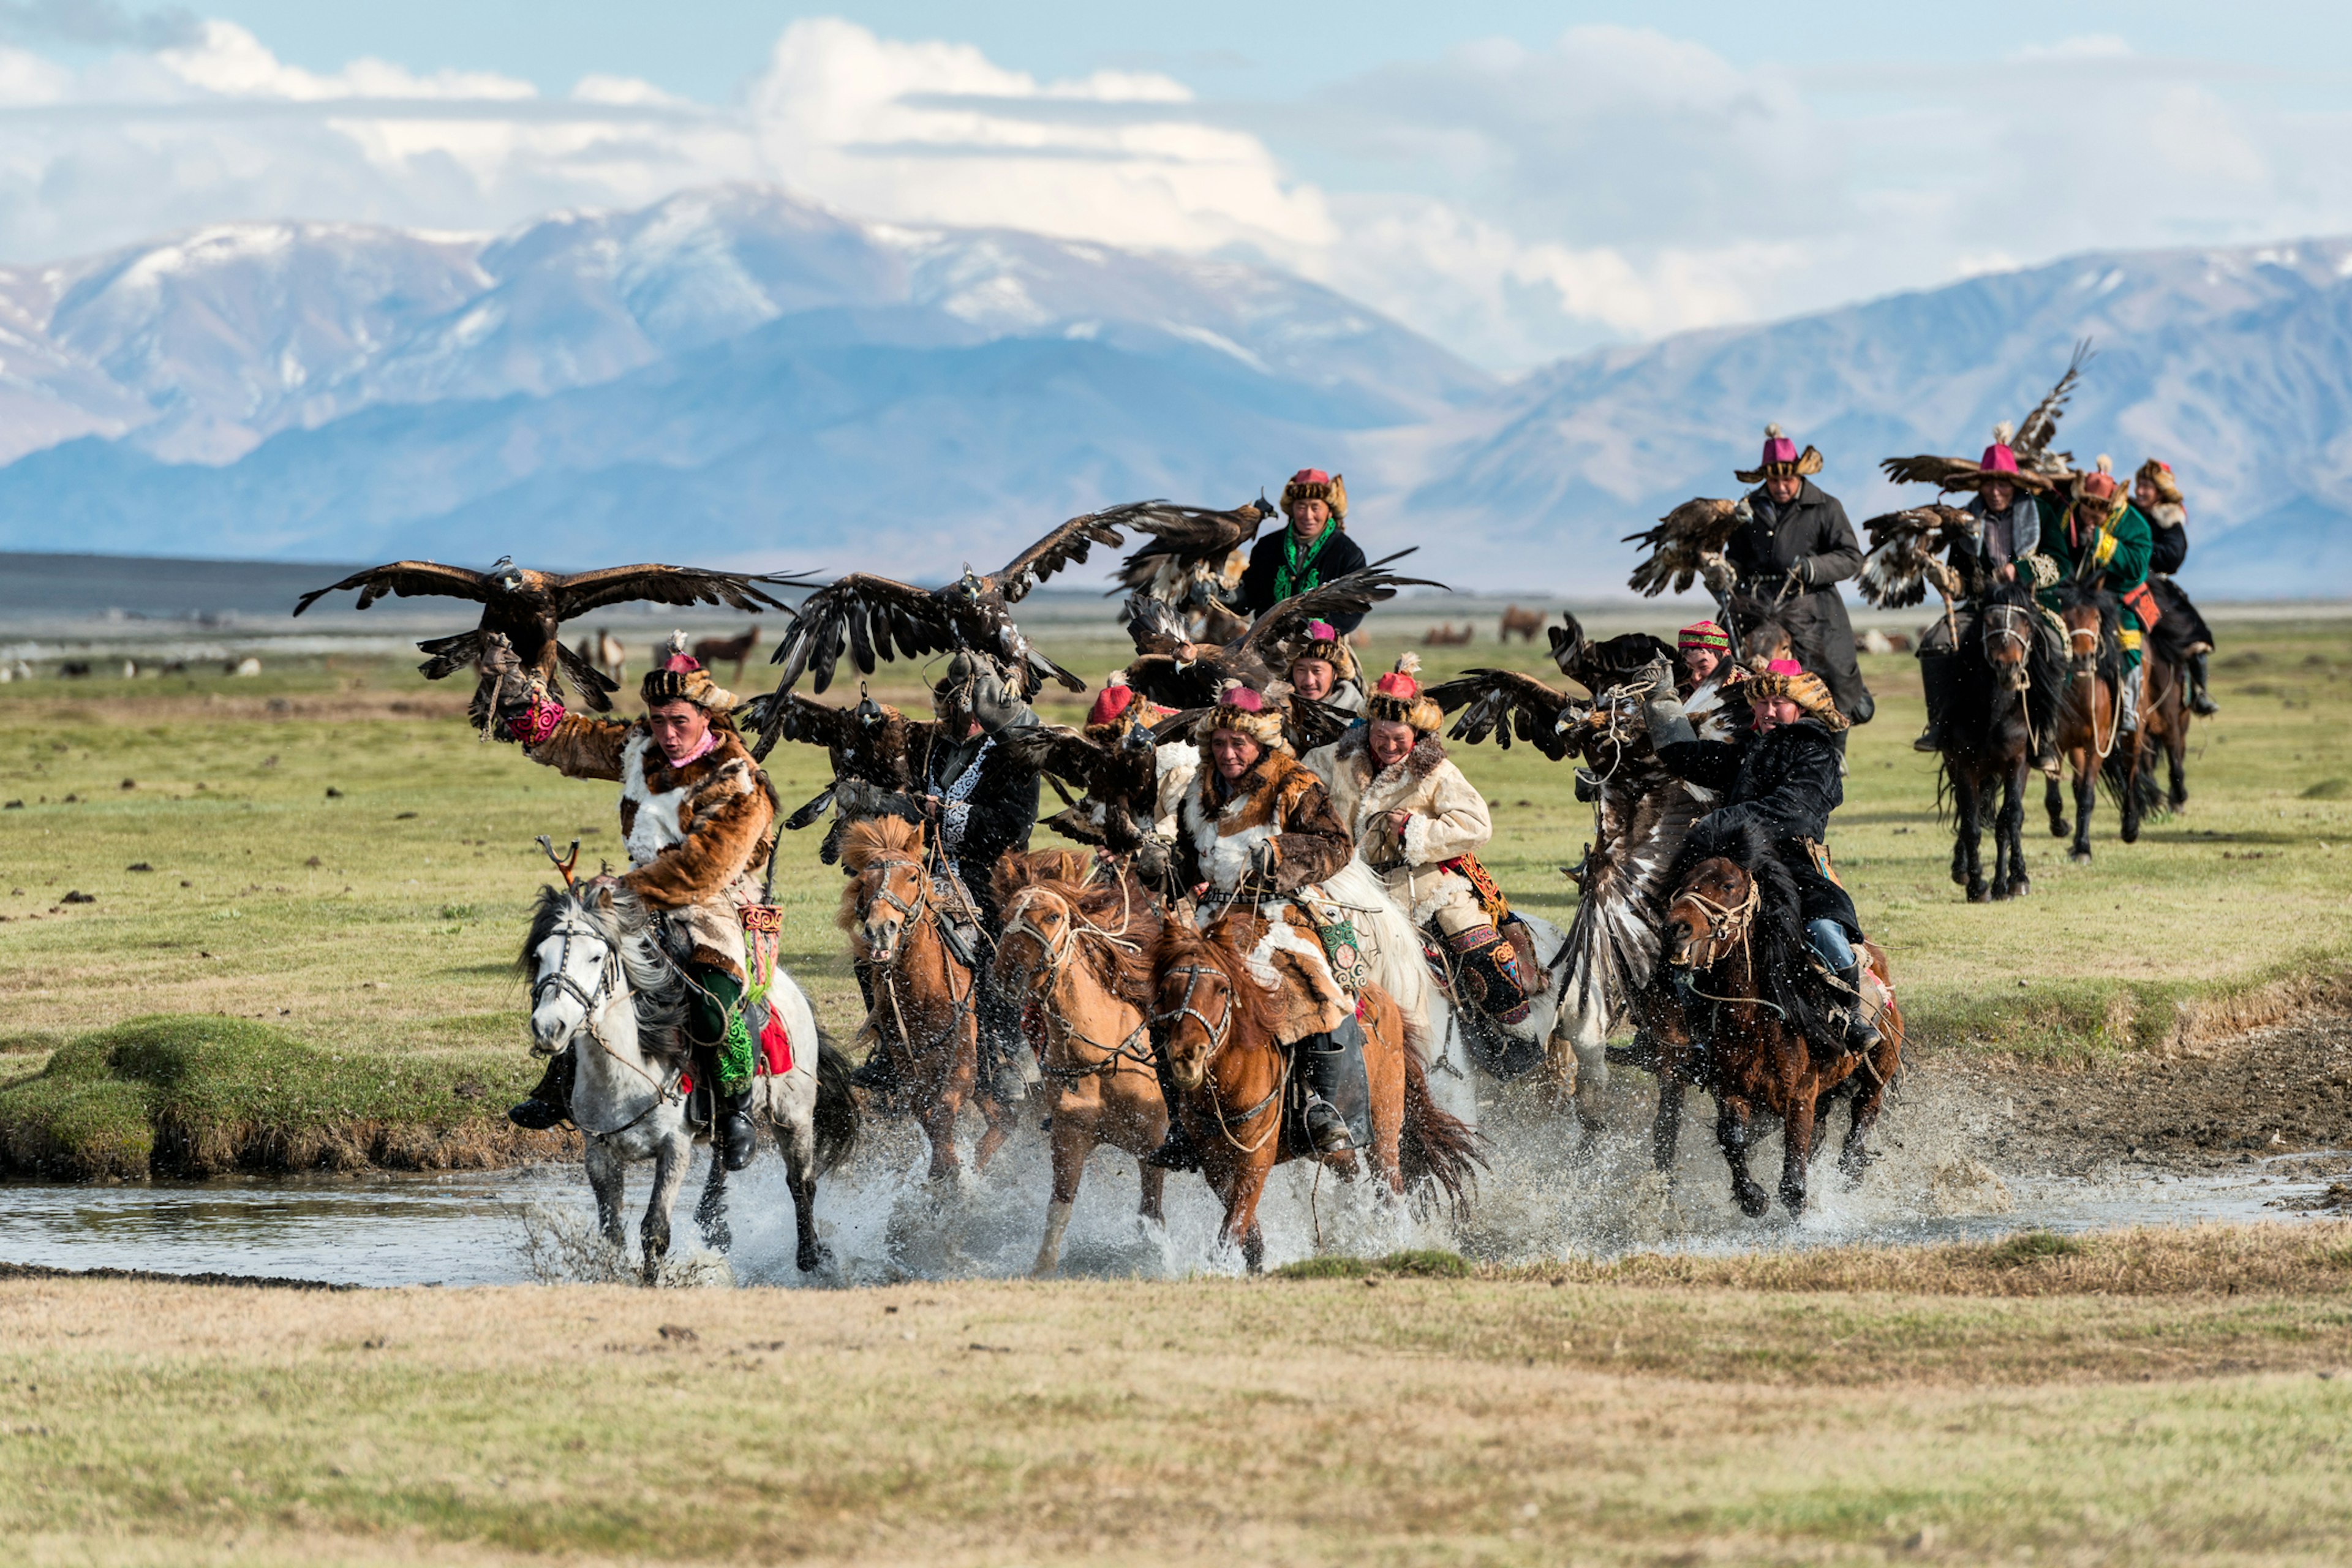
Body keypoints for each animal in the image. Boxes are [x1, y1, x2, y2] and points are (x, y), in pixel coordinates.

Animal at [524, 879, 865, 1278]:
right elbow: (612, 1234)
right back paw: (716, 1218)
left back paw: (810, 1257)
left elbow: (655, 1230)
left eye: (596, 957)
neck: (626, 1072)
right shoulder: (599, 1152)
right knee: (724, 1154)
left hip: (793, 1114)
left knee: (802, 1183)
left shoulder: (674, 1147)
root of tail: (787, 987)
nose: (550, 1026)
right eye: (539, 957)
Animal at [846, 823, 1030, 1175]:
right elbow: (929, 1118)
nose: (880, 930)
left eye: (912, 877)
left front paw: (948, 1173)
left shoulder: (963, 1068)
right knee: (1001, 1121)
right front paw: (944, 1172)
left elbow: (943, 1113)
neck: (924, 993)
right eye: (863, 880)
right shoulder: (911, 1072)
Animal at [992, 851, 1176, 1278]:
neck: (1102, 1058)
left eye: (1052, 916)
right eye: (1006, 913)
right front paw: (1041, 1269)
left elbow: (1152, 1216)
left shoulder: (1154, 1143)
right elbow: (1058, 1212)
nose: (1006, 974)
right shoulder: (1069, 1139)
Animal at [1147, 912, 1477, 1269]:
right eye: (1165, 990)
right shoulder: (1214, 1165)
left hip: (1385, 1127)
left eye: (1222, 989)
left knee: (1388, 1192)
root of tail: (1383, 1000)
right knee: (1349, 1170)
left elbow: (1231, 1232)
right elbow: (1249, 1237)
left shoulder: (1255, 1161)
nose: (1186, 1056)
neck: (1230, 1082)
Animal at [1646, 832, 1900, 1213]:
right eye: (1685, 883)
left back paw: (1850, 1170)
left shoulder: (1801, 1095)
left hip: (1878, 1069)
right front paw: (1752, 1198)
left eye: (1728, 884)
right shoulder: (1732, 1090)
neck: (1757, 1020)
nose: (1675, 927)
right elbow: (1732, 1137)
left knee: (1864, 1112)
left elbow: (1793, 1183)